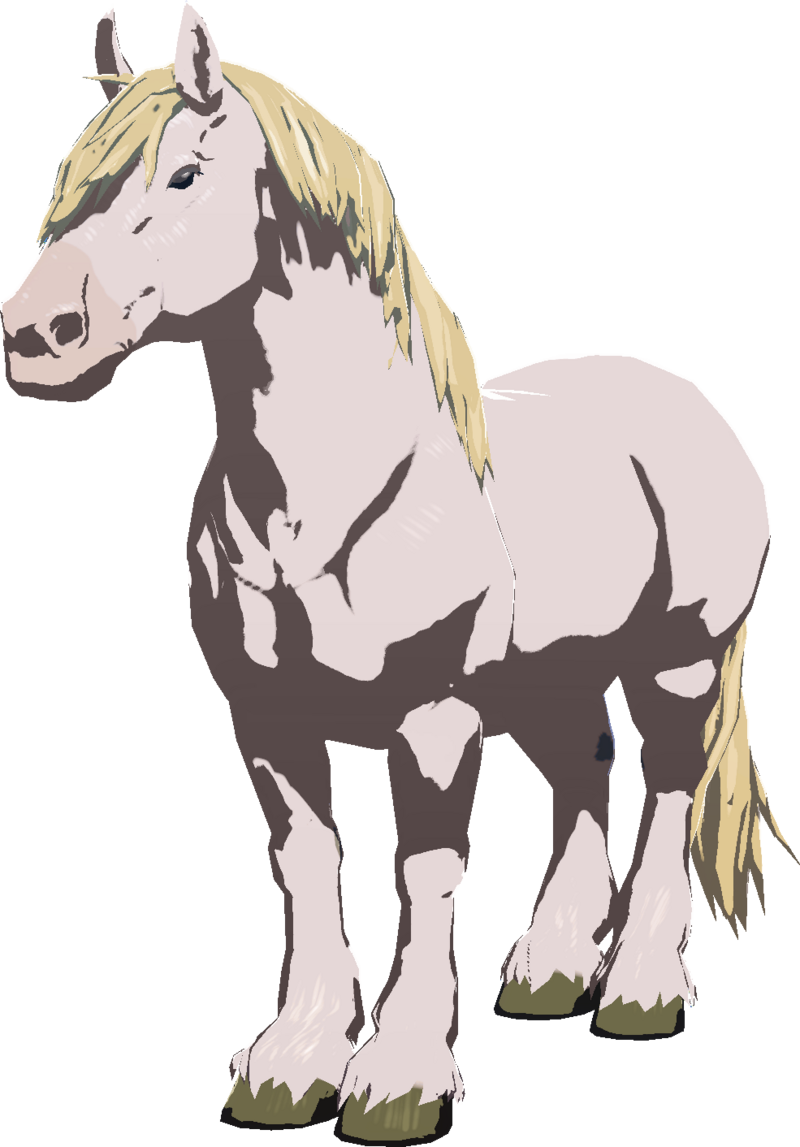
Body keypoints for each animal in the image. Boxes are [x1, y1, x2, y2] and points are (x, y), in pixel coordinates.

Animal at [3, 3, 797, 1141]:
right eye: (69, 184)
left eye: (188, 174)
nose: (37, 336)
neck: (323, 505)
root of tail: (685, 397)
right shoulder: (268, 719)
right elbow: (306, 862)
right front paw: (291, 1061)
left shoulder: (434, 720)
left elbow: (424, 871)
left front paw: (401, 1076)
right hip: (547, 678)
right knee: (586, 768)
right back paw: (551, 969)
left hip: (679, 661)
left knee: (669, 787)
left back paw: (641, 984)